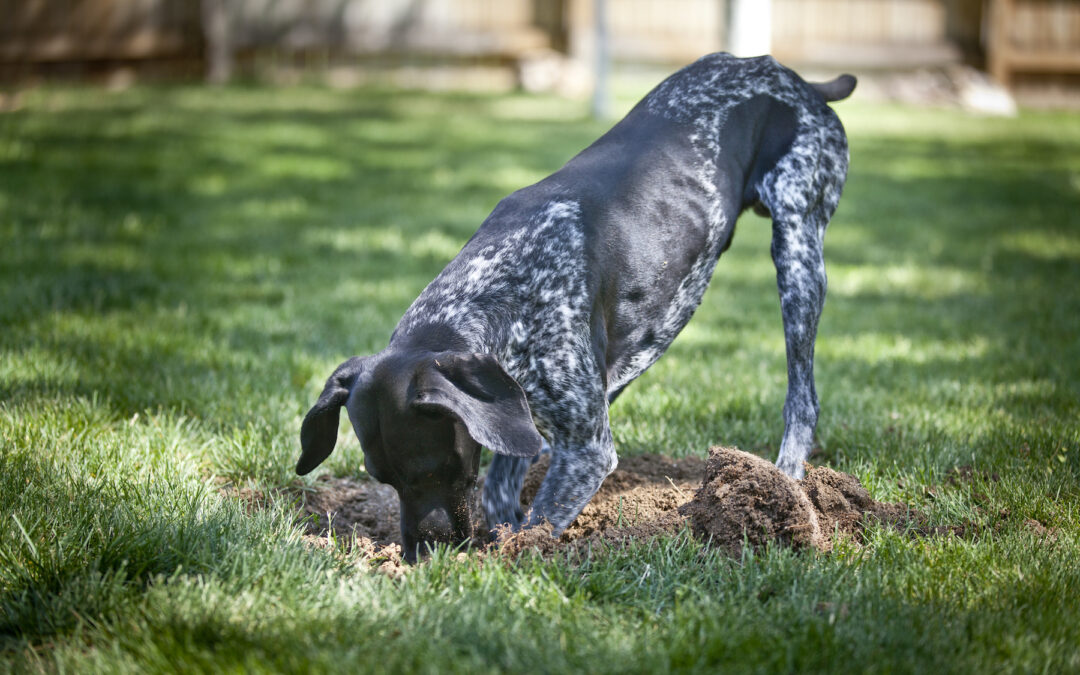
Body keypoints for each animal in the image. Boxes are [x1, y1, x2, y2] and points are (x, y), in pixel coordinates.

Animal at [293, 52, 851, 561]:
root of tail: (797, 80)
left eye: (436, 469)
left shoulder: (586, 450)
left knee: (803, 398)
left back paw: (788, 486)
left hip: (798, 251)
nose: (421, 556)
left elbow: (536, 523)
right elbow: (500, 493)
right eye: (382, 478)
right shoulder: (519, 410)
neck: (492, 291)